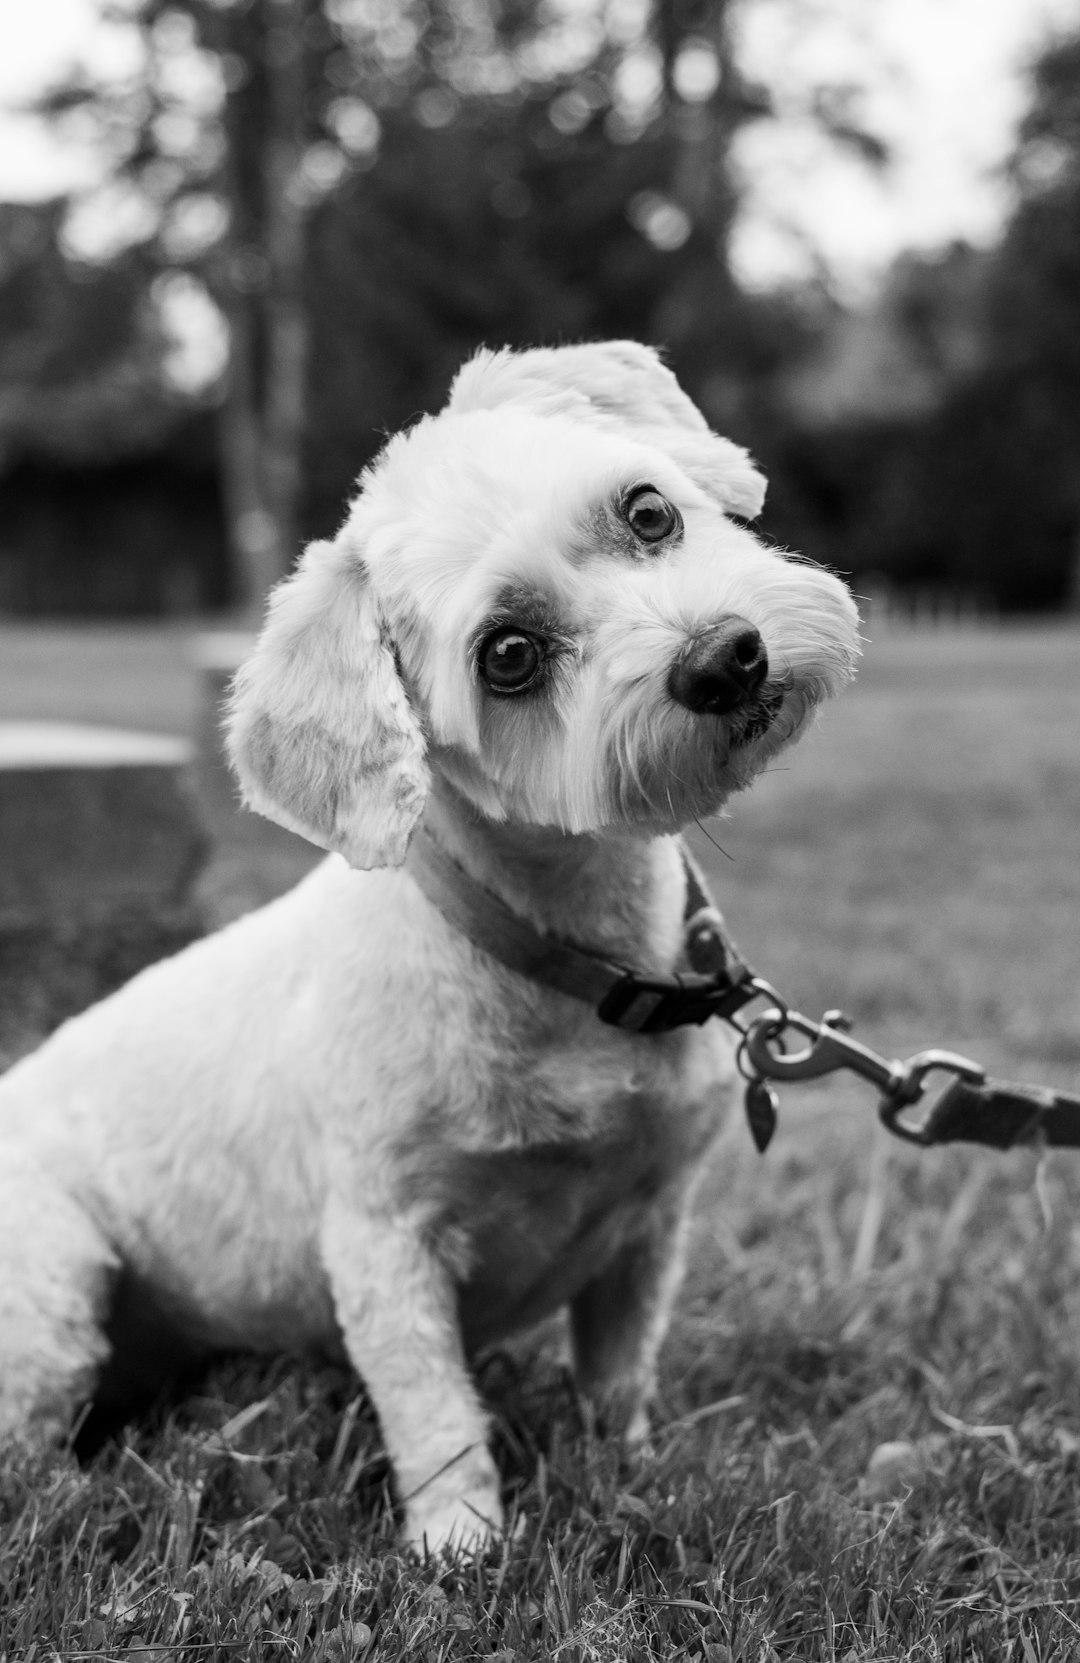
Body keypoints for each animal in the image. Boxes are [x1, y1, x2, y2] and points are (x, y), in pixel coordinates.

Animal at [0, 344, 858, 1549]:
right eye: (509, 655)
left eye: (648, 511)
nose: (726, 659)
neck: (564, 962)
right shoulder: (384, 1247)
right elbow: (435, 1409)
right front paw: (461, 1545)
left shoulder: (648, 1225)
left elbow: (619, 1375)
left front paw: (633, 1476)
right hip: (48, 1289)